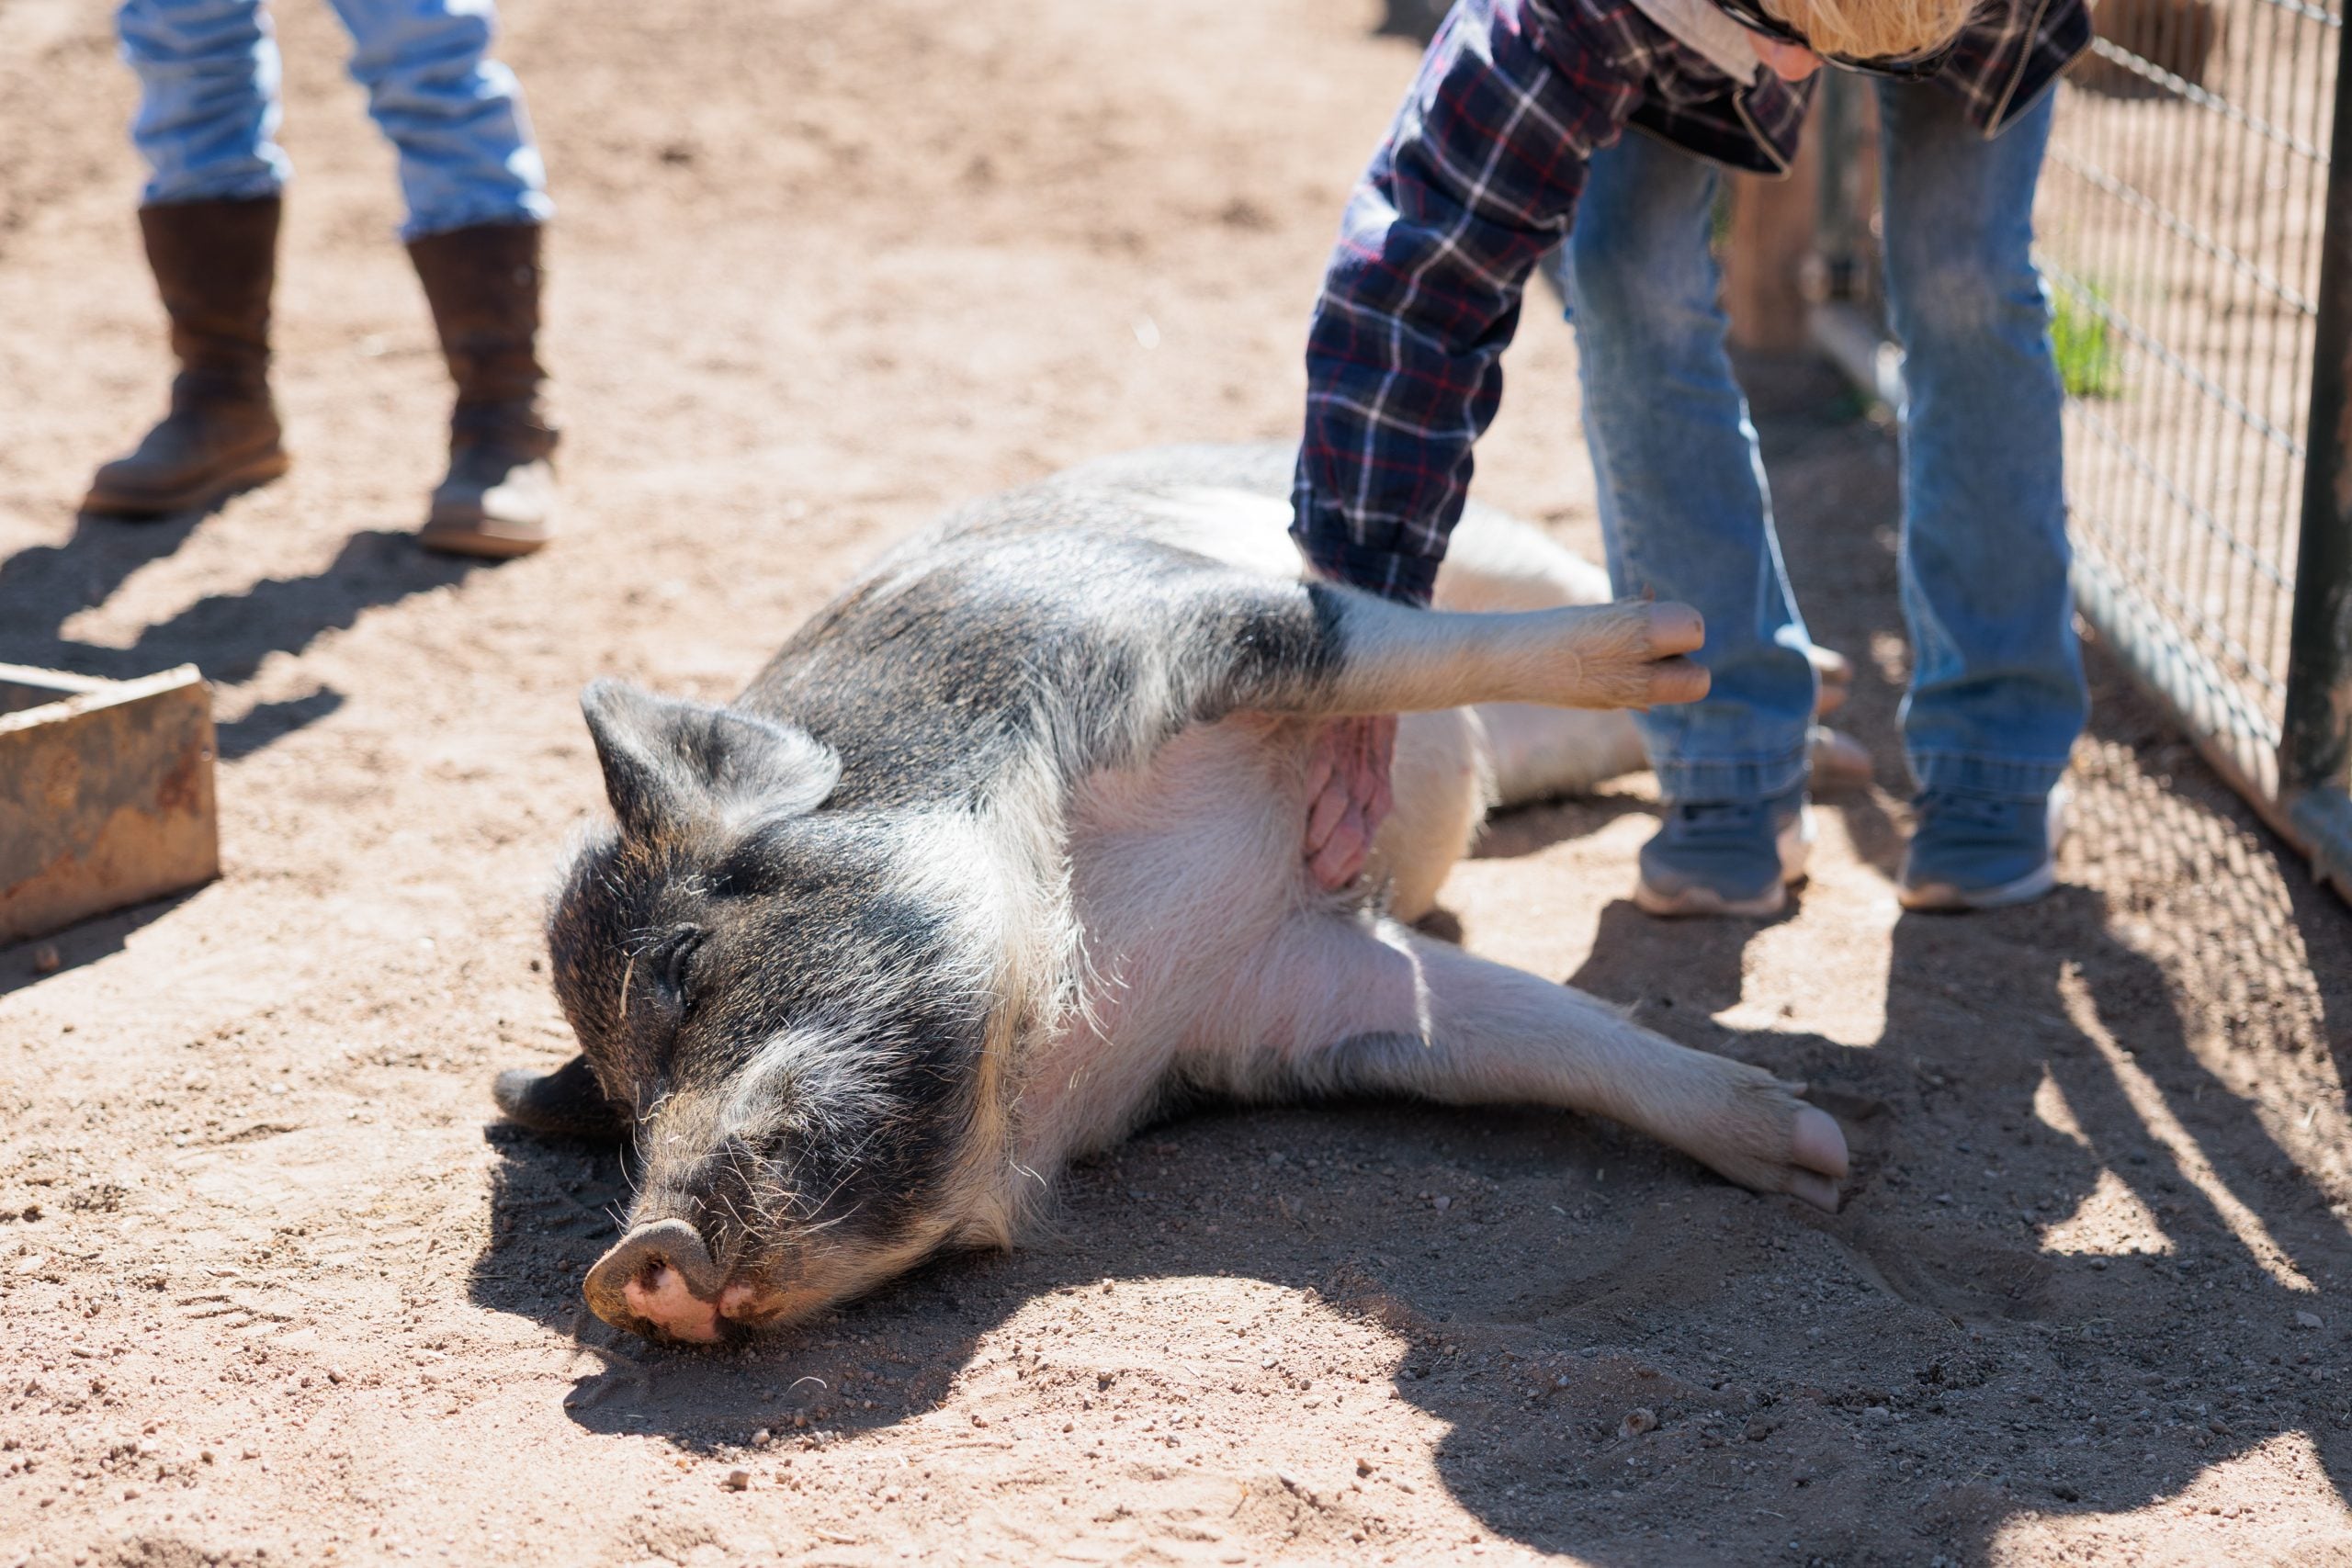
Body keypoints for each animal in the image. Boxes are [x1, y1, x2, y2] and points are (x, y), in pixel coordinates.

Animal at [492, 444, 1850, 1343]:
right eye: (622, 1109)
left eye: (685, 965)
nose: (629, 1265)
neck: (1080, 956)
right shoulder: (1295, 990)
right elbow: (1543, 1035)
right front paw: (1817, 1160)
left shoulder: (1168, 626)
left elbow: (1370, 646)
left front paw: (1673, 642)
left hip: (1473, 540)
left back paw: (1809, 692)